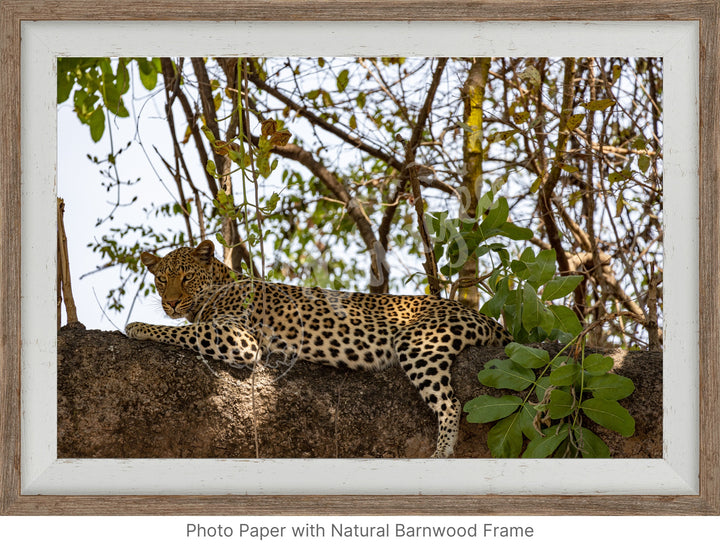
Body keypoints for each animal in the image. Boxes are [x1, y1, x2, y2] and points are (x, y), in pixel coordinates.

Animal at [126, 239, 516, 460]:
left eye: (186, 277)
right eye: (161, 279)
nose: (171, 302)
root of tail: (484, 317)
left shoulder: (239, 338)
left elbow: (187, 331)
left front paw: (137, 326)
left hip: (419, 342)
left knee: (450, 402)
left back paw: (442, 451)